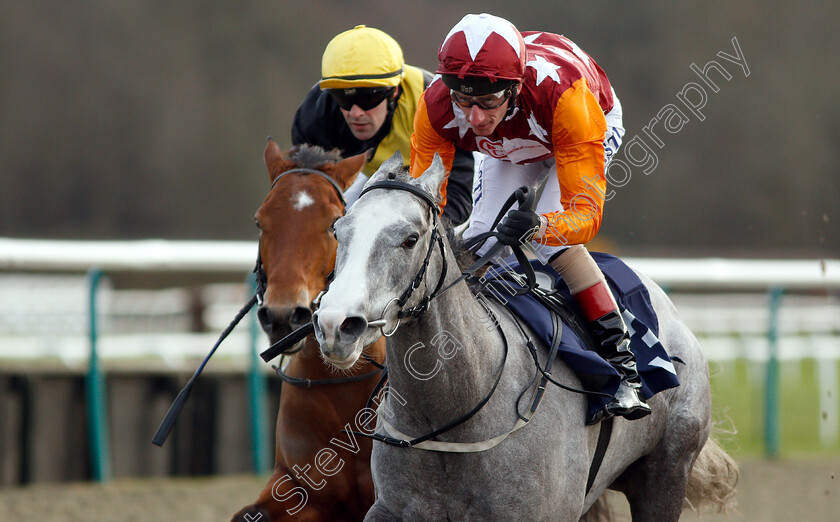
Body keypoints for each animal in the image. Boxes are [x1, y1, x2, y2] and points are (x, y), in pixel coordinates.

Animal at [314, 153, 736, 520]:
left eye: (410, 238)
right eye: (338, 230)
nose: (336, 323)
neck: (452, 416)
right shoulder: (392, 509)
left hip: (666, 473)